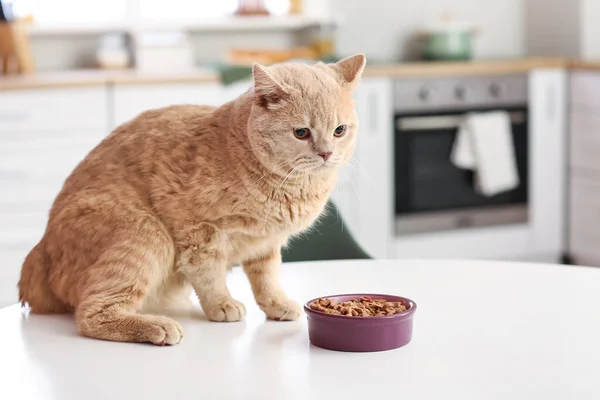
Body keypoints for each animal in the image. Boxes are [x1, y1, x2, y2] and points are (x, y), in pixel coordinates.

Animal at [17, 53, 366, 346]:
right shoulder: (199, 233)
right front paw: (222, 305)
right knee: (91, 314)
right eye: (301, 133)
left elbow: (266, 279)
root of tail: (39, 252)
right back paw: (157, 326)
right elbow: (210, 275)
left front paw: (276, 305)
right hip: (146, 234)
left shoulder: (265, 244)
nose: (326, 154)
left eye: (339, 131)